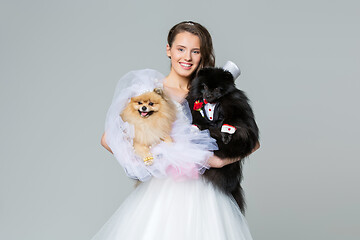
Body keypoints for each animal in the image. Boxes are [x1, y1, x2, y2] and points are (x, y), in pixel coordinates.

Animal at [186, 67, 258, 214]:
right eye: (204, 86)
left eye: (217, 88)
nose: (208, 95)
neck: (212, 104)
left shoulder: (238, 107)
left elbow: (235, 123)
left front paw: (226, 135)